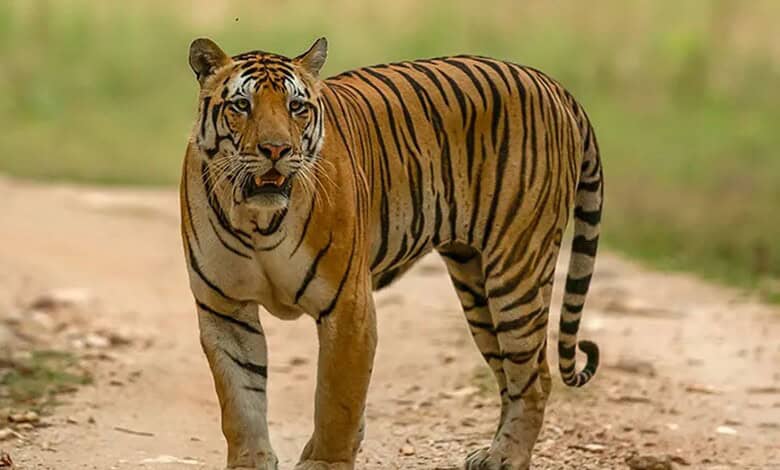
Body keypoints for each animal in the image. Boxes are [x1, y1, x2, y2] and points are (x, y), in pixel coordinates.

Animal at [181, 36, 603, 470]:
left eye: (296, 107)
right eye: (241, 105)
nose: (276, 149)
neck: (256, 220)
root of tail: (551, 83)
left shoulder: (347, 306)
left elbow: (337, 399)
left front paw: (325, 462)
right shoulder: (225, 308)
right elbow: (240, 401)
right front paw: (252, 461)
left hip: (516, 270)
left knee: (535, 376)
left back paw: (506, 457)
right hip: (476, 283)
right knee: (510, 374)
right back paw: (492, 450)